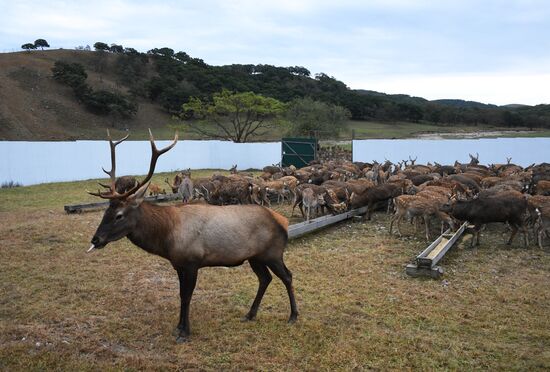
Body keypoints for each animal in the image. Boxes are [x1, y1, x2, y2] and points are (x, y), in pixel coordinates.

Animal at [88, 130, 300, 342]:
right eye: (106, 211)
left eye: (119, 215)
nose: (96, 239)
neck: (167, 238)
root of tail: (283, 221)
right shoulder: (178, 264)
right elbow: (181, 295)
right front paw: (179, 327)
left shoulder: (192, 262)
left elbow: (187, 296)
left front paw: (185, 332)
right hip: (255, 257)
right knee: (265, 279)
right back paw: (250, 314)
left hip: (273, 253)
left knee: (287, 276)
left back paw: (293, 316)